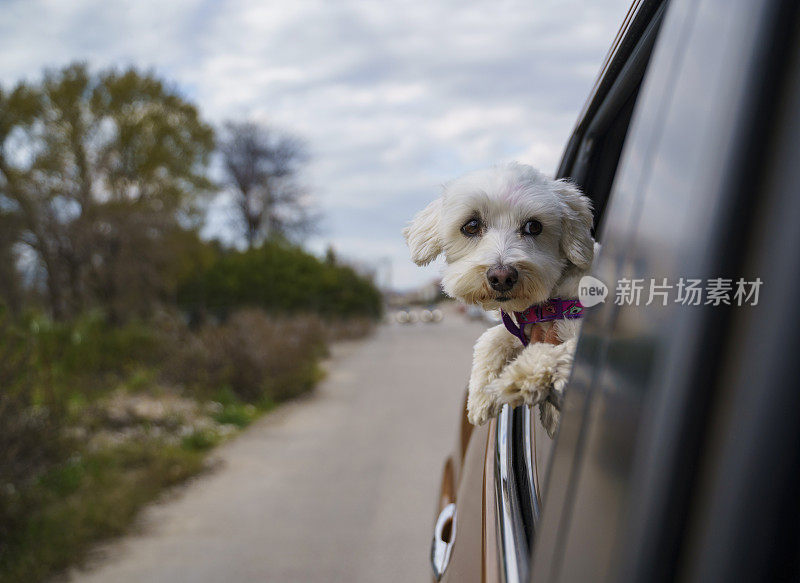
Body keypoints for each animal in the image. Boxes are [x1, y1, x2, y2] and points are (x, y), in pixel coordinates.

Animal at [406, 162, 592, 436]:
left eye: (533, 226)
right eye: (471, 225)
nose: (502, 277)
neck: (553, 301)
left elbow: (561, 350)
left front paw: (521, 377)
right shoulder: (523, 326)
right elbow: (490, 337)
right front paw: (481, 395)